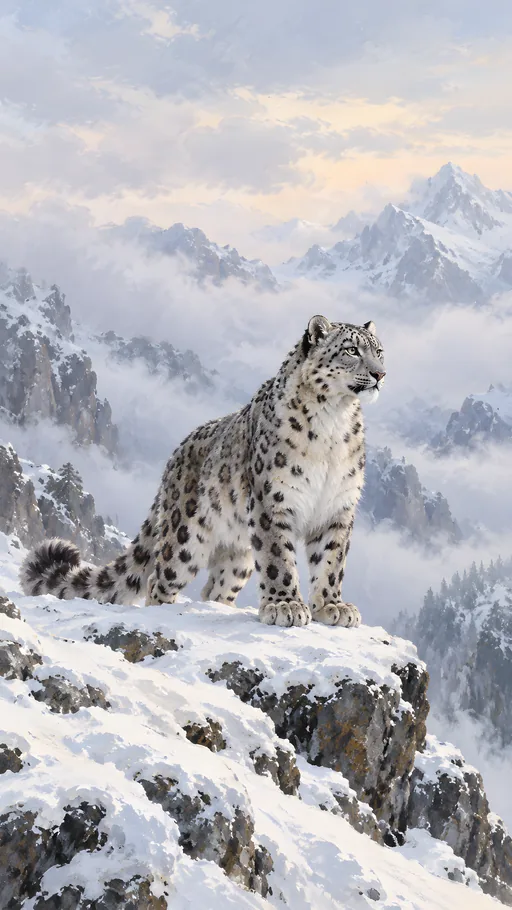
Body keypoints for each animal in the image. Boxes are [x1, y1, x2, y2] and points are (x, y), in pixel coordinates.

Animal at [20, 315, 385, 628]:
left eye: (379, 351)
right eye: (352, 350)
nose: (380, 374)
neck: (333, 423)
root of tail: (173, 458)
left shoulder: (337, 506)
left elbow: (331, 560)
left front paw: (332, 606)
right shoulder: (272, 500)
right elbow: (278, 557)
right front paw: (285, 605)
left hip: (238, 554)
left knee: (216, 587)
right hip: (185, 538)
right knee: (158, 580)